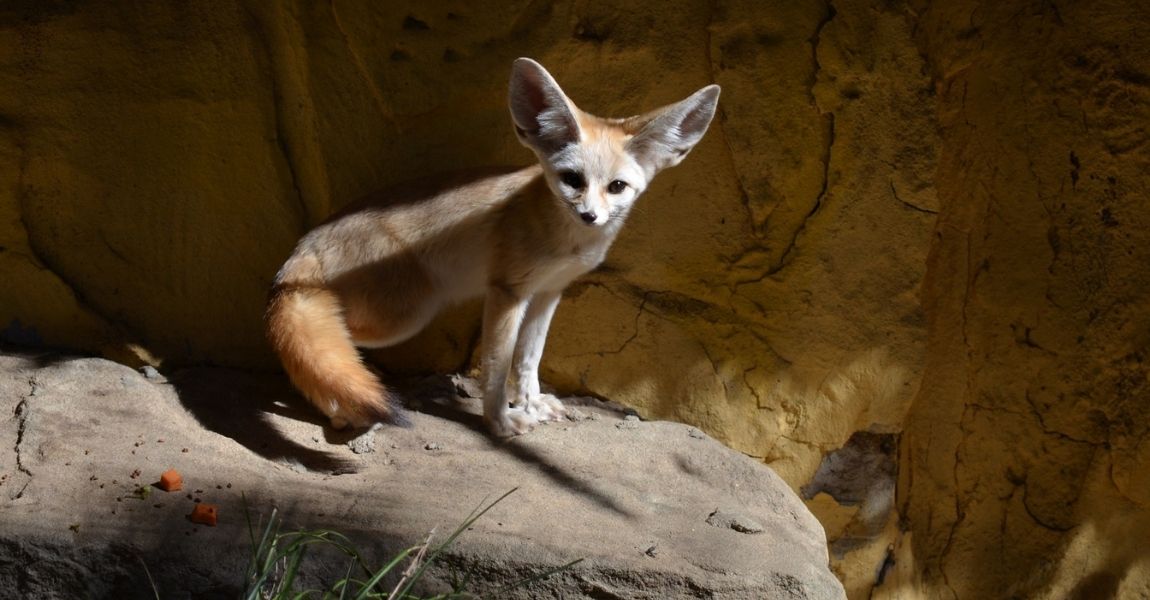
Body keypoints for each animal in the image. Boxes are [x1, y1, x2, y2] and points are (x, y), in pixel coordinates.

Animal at [269, 57, 717, 434]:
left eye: (617, 187)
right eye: (572, 180)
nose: (590, 215)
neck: (565, 239)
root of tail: (303, 245)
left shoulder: (548, 292)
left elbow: (529, 357)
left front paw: (532, 403)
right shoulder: (507, 292)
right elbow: (498, 367)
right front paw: (500, 420)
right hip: (404, 316)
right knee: (325, 342)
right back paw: (342, 409)